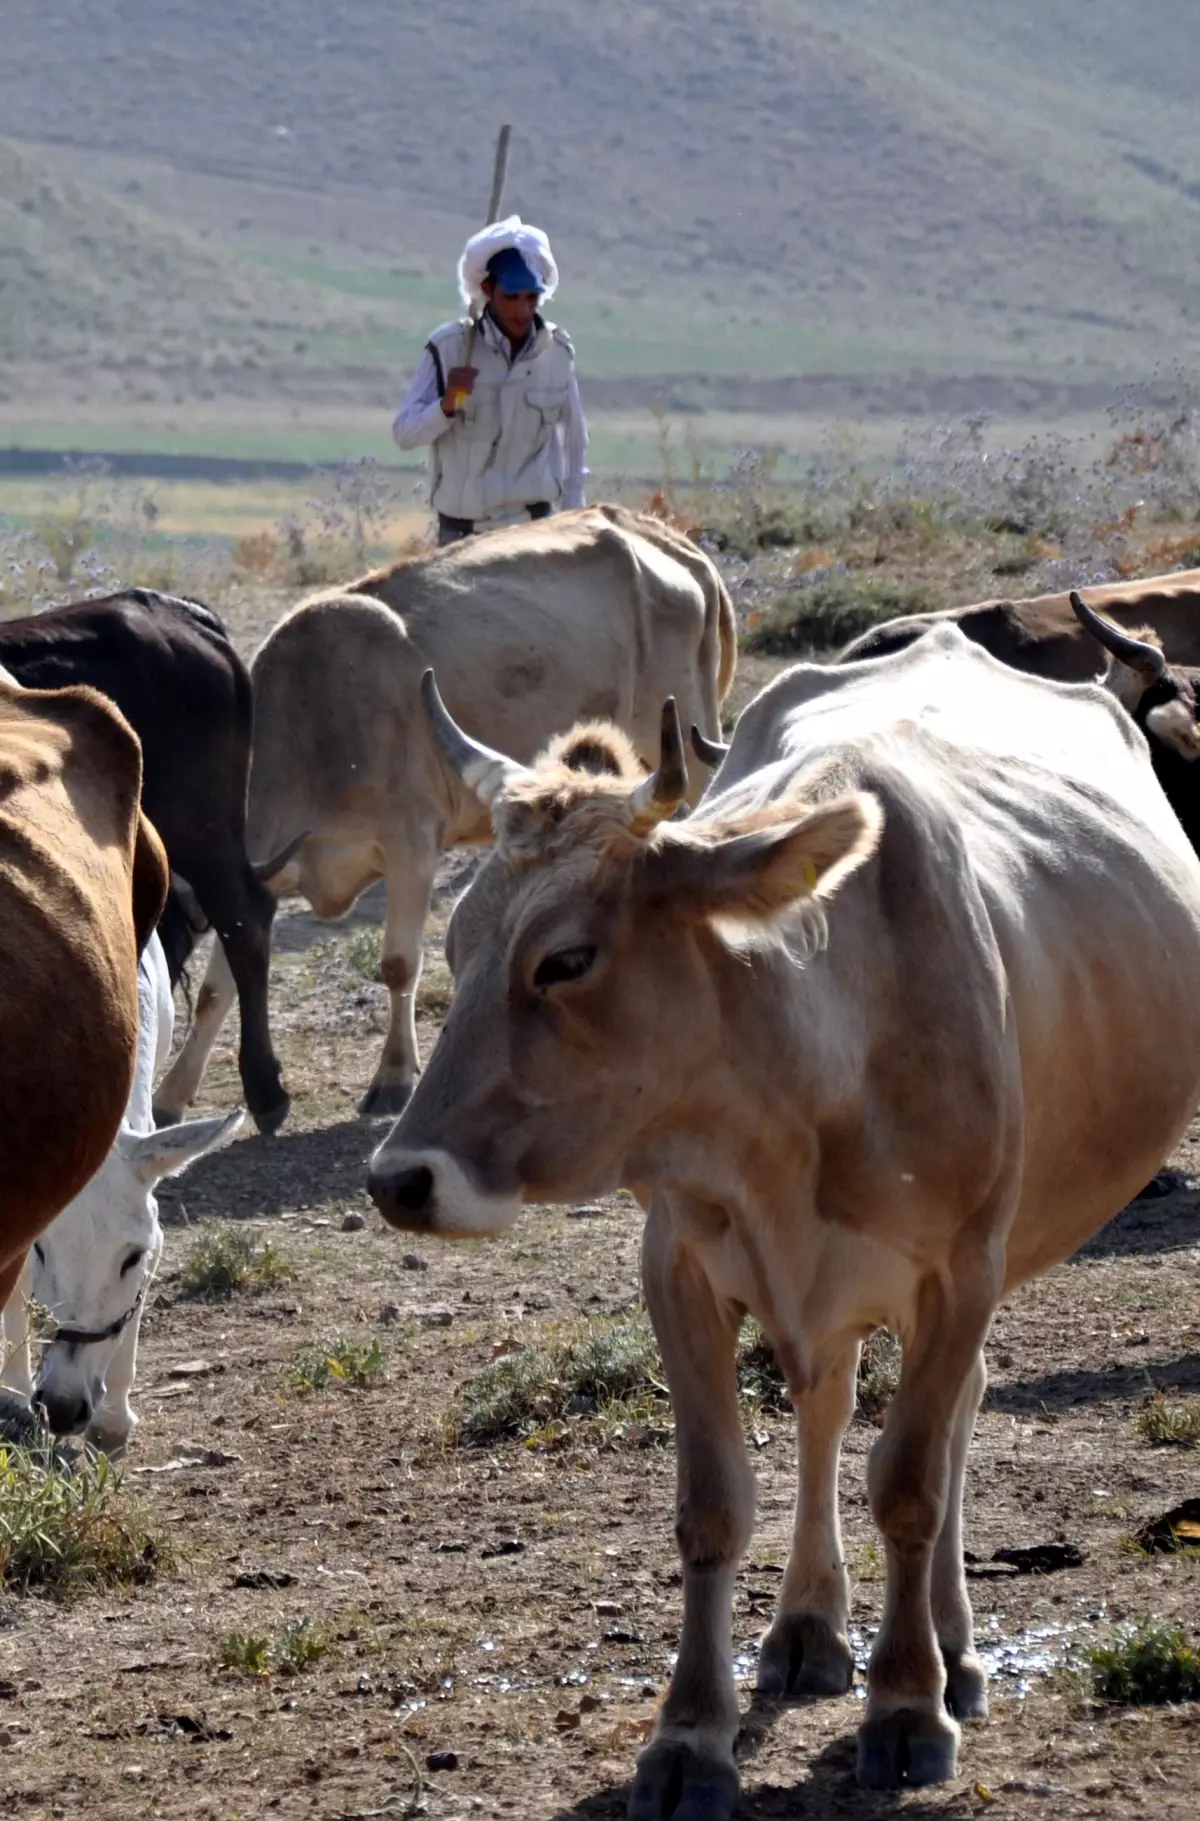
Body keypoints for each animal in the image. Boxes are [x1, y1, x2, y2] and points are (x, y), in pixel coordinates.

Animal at [154, 502, 735, 1121]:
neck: (316, 723)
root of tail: (659, 536)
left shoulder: (411, 845)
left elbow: (398, 964)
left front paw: (392, 1077)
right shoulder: (254, 884)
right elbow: (219, 987)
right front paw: (172, 1096)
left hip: (686, 732)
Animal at [371, 630, 1200, 1806]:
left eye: (566, 958)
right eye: (456, 947)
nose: (401, 1178)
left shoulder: (961, 1271)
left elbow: (910, 1482)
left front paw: (907, 1704)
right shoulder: (677, 1264)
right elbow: (715, 1502)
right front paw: (688, 1734)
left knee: (951, 1417)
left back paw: (954, 1647)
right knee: (826, 1406)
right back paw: (809, 1626)